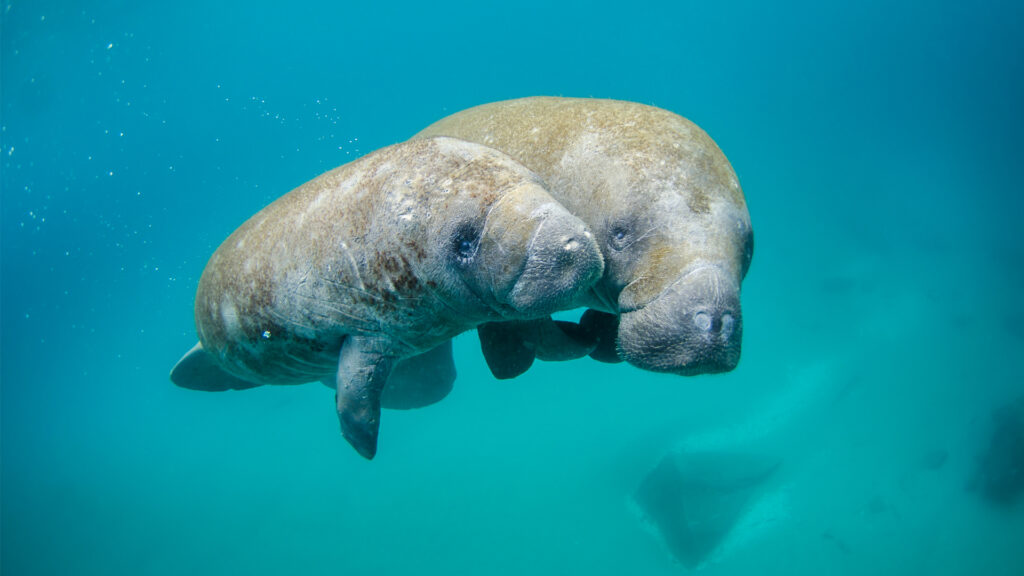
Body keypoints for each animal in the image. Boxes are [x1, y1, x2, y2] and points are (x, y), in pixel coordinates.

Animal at [166, 136, 598, 455]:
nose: (575, 244)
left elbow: (543, 335)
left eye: (542, 185)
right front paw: (363, 446)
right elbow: (358, 393)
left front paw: (584, 340)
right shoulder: (366, 327)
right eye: (463, 242)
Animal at [413, 97, 753, 377]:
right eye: (619, 235)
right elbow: (537, 331)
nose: (714, 321)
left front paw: (598, 337)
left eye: (749, 249)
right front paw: (583, 340)